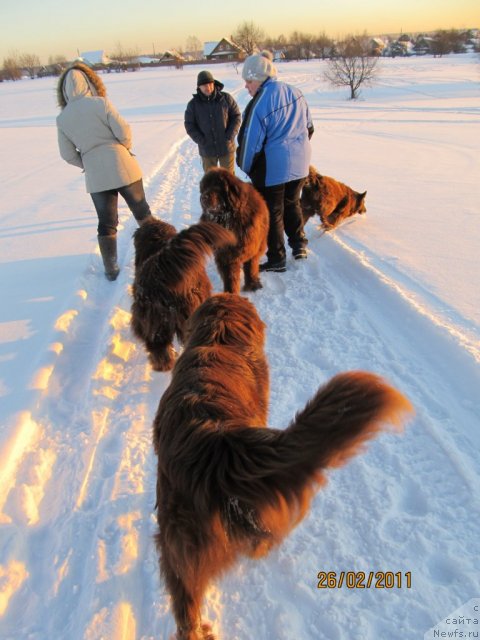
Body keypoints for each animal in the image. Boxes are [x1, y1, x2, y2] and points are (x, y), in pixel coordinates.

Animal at [197, 166, 268, 294]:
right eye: (204, 187)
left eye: (217, 185)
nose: (203, 197)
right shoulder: (226, 255)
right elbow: (230, 276)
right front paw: (230, 292)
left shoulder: (251, 248)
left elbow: (251, 267)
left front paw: (252, 285)